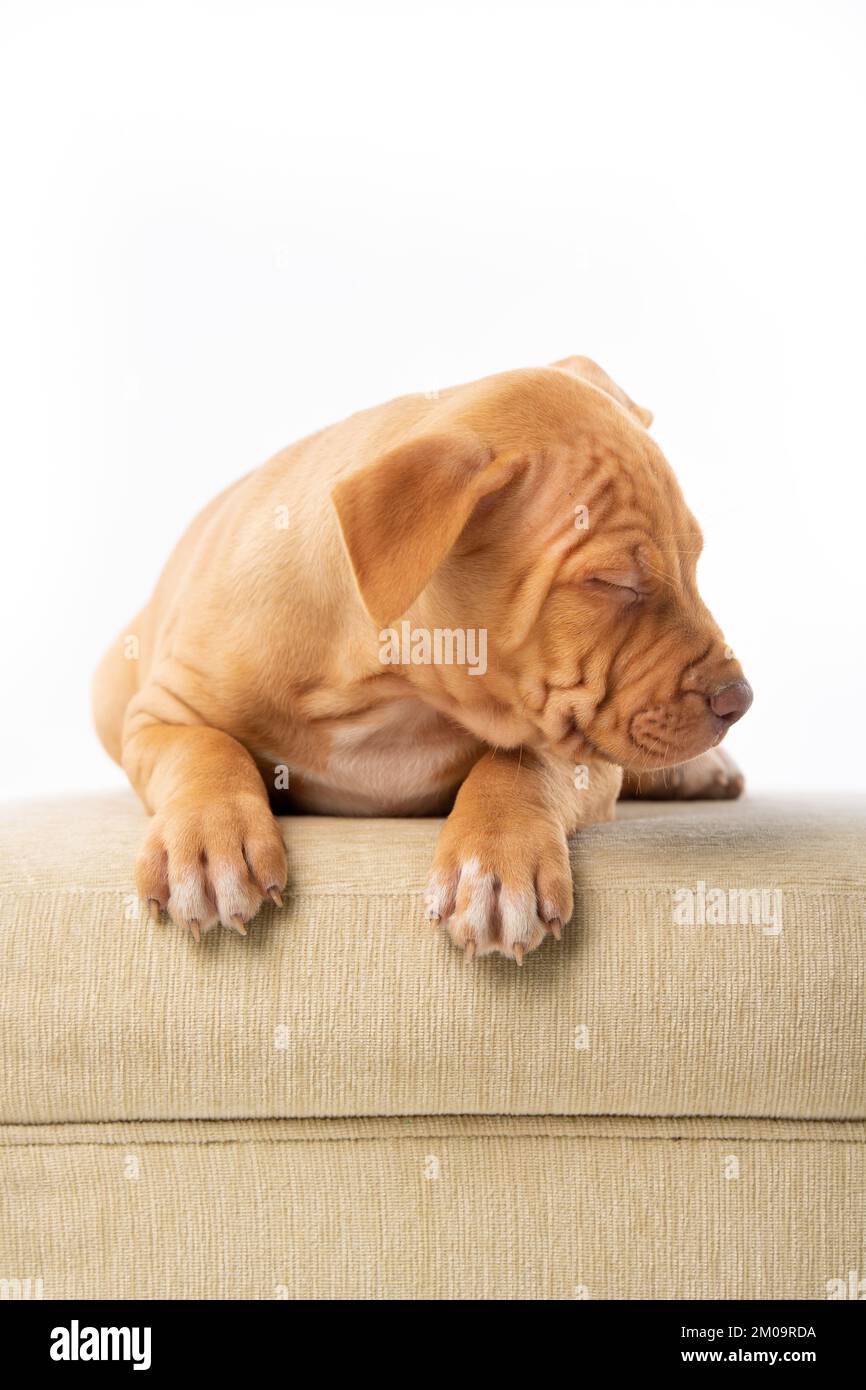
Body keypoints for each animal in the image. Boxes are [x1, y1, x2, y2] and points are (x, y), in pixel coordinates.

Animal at [93, 358, 750, 961]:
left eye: (694, 562)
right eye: (614, 582)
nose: (739, 700)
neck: (392, 692)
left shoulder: (577, 747)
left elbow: (524, 765)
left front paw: (497, 865)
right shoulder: (157, 714)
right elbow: (203, 747)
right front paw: (209, 844)